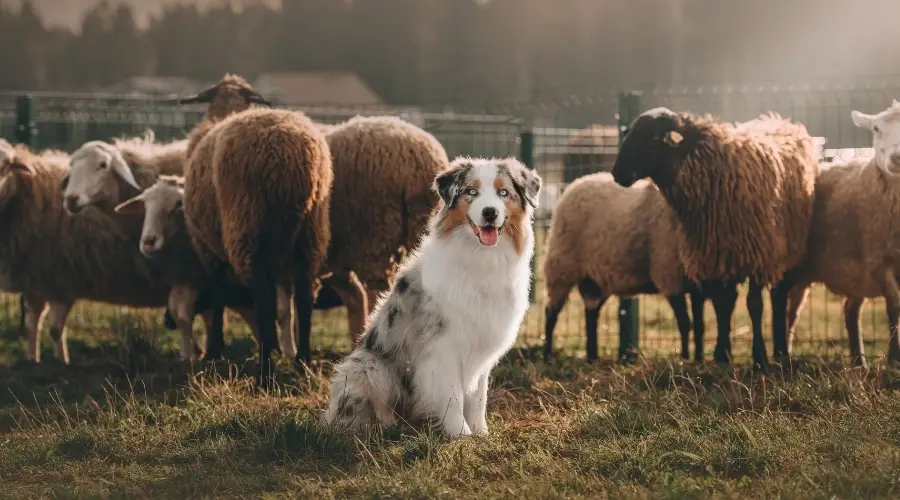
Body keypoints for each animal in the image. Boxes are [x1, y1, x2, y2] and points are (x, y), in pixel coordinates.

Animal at [178, 73, 332, 386]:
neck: (225, 111)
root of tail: (293, 161)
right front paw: (274, 344)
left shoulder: (206, 247)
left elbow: (218, 294)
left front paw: (215, 350)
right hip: (311, 233)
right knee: (304, 299)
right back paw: (302, 361)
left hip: (245, 227)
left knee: (262, 301)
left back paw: (264, 373)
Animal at [328, 156, 544, 438]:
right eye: (471, 192)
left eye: (503, 193)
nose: (490, 213)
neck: (481, 258)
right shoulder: (443, 345)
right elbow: (452, 394)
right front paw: (460, 435)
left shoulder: (483, 342)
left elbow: (478, 396)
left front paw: (481, 433)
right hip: (368, 365)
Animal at [540, 172, 712, 364]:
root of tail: (578, 181)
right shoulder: (669, 277)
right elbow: (684, 323)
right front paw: (684, 359)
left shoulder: (697, 286)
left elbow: (699, 326)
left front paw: (698, 359)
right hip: (562, 267)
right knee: (551, 312)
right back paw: (548, 356)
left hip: (595, 279)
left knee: (591, 314)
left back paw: (592, 357)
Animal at [616, 107, 820, 370]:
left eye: (651, 137)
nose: (617, 174)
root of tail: (782, 121)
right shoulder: (714, 257)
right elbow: (723, 306)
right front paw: (722, 354)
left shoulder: (757, 255)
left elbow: (754, 305)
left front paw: (759, 357)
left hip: (785, 251)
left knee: (778, 299)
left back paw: (780, 352)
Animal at [780, 102, 900, 368]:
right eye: (876, 129)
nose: (897, 157)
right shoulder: (880, 262)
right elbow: (895, 308)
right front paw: (895, 361)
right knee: (788, 308)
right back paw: (782, 355)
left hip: (853, 273)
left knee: (848, 311)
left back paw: (859, 362)